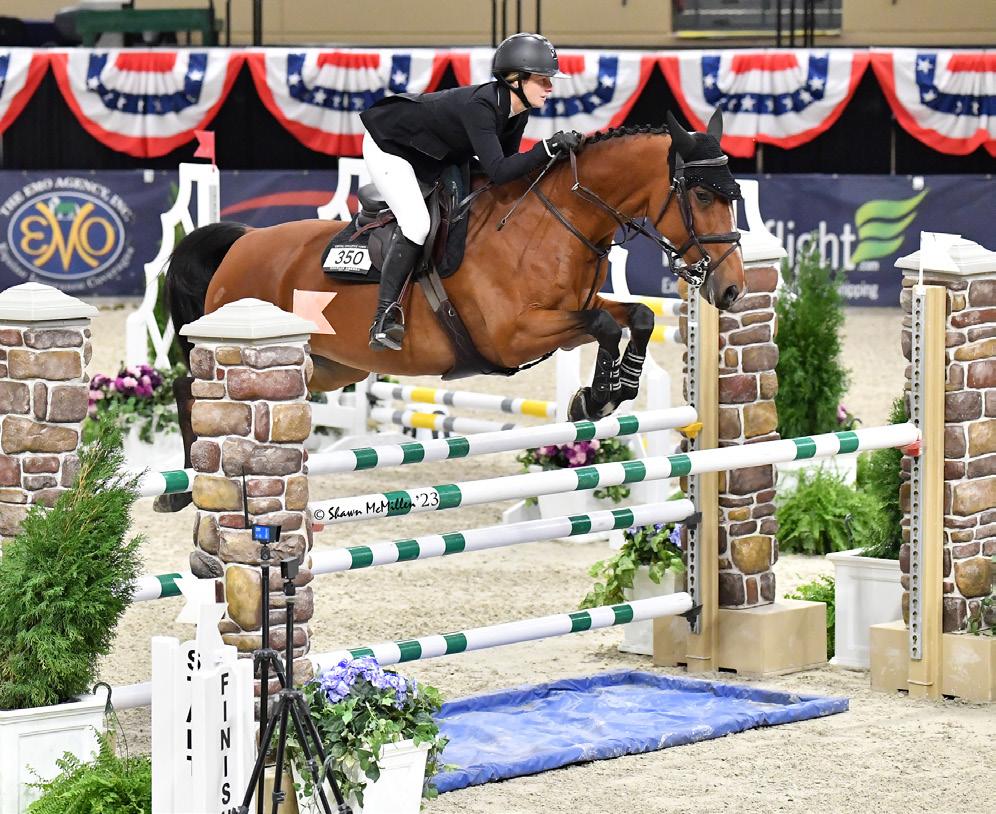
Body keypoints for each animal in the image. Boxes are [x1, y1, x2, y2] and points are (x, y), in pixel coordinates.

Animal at [156, 111, 745, 512]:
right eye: (701, 195)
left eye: (734, 195)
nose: (732, 289)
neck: (556, 221)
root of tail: (241, 243)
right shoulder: (514, 334)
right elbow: (602, 326)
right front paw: (595, 397)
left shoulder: (572, 311)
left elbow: (636, 318)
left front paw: (612, 391)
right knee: (189, 387)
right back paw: (182, 488)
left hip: (325, 365)